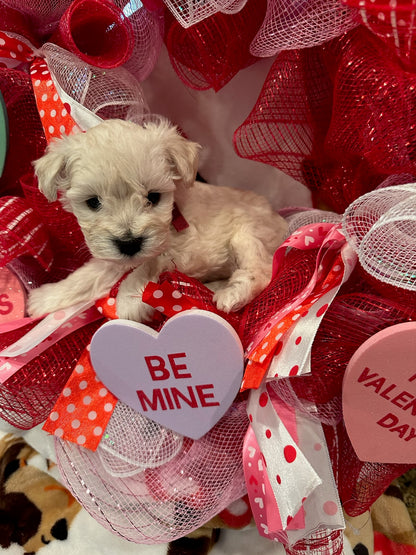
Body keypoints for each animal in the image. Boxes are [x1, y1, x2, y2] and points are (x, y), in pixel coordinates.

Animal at [27, 119, 288, 324]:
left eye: (153, 197)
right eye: (93, 202)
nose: (129, 243)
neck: (174, 218)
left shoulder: (189, 250)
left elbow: (150, 264)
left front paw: (128, 300)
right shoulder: (113, 256)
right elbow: (88, 276)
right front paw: (46, 297)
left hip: (249, 234)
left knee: (261, 270)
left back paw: (230, 294)